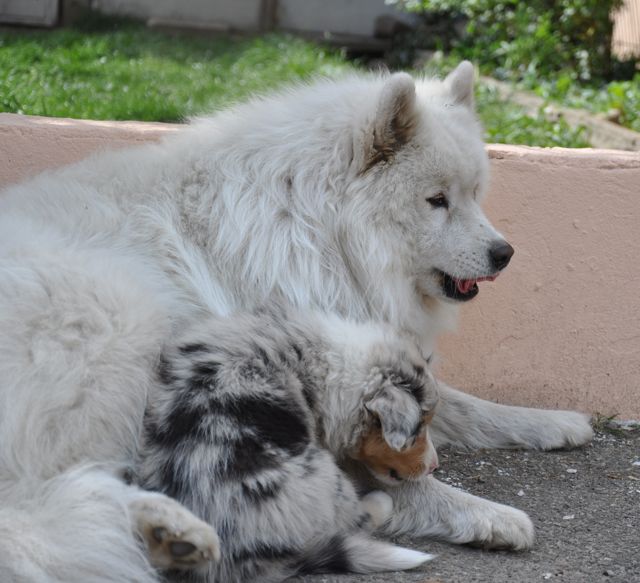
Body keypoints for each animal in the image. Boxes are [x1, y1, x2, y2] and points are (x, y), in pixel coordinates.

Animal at [0, 61, 596, 580]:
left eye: (475, 195)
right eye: (436, 200)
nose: (504, 253)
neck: (314, 225)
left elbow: (459, 405)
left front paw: (550, 423)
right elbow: (390, 470)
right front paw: (485, 513)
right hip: (124, 326)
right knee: (41, 507)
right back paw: (166, 530)